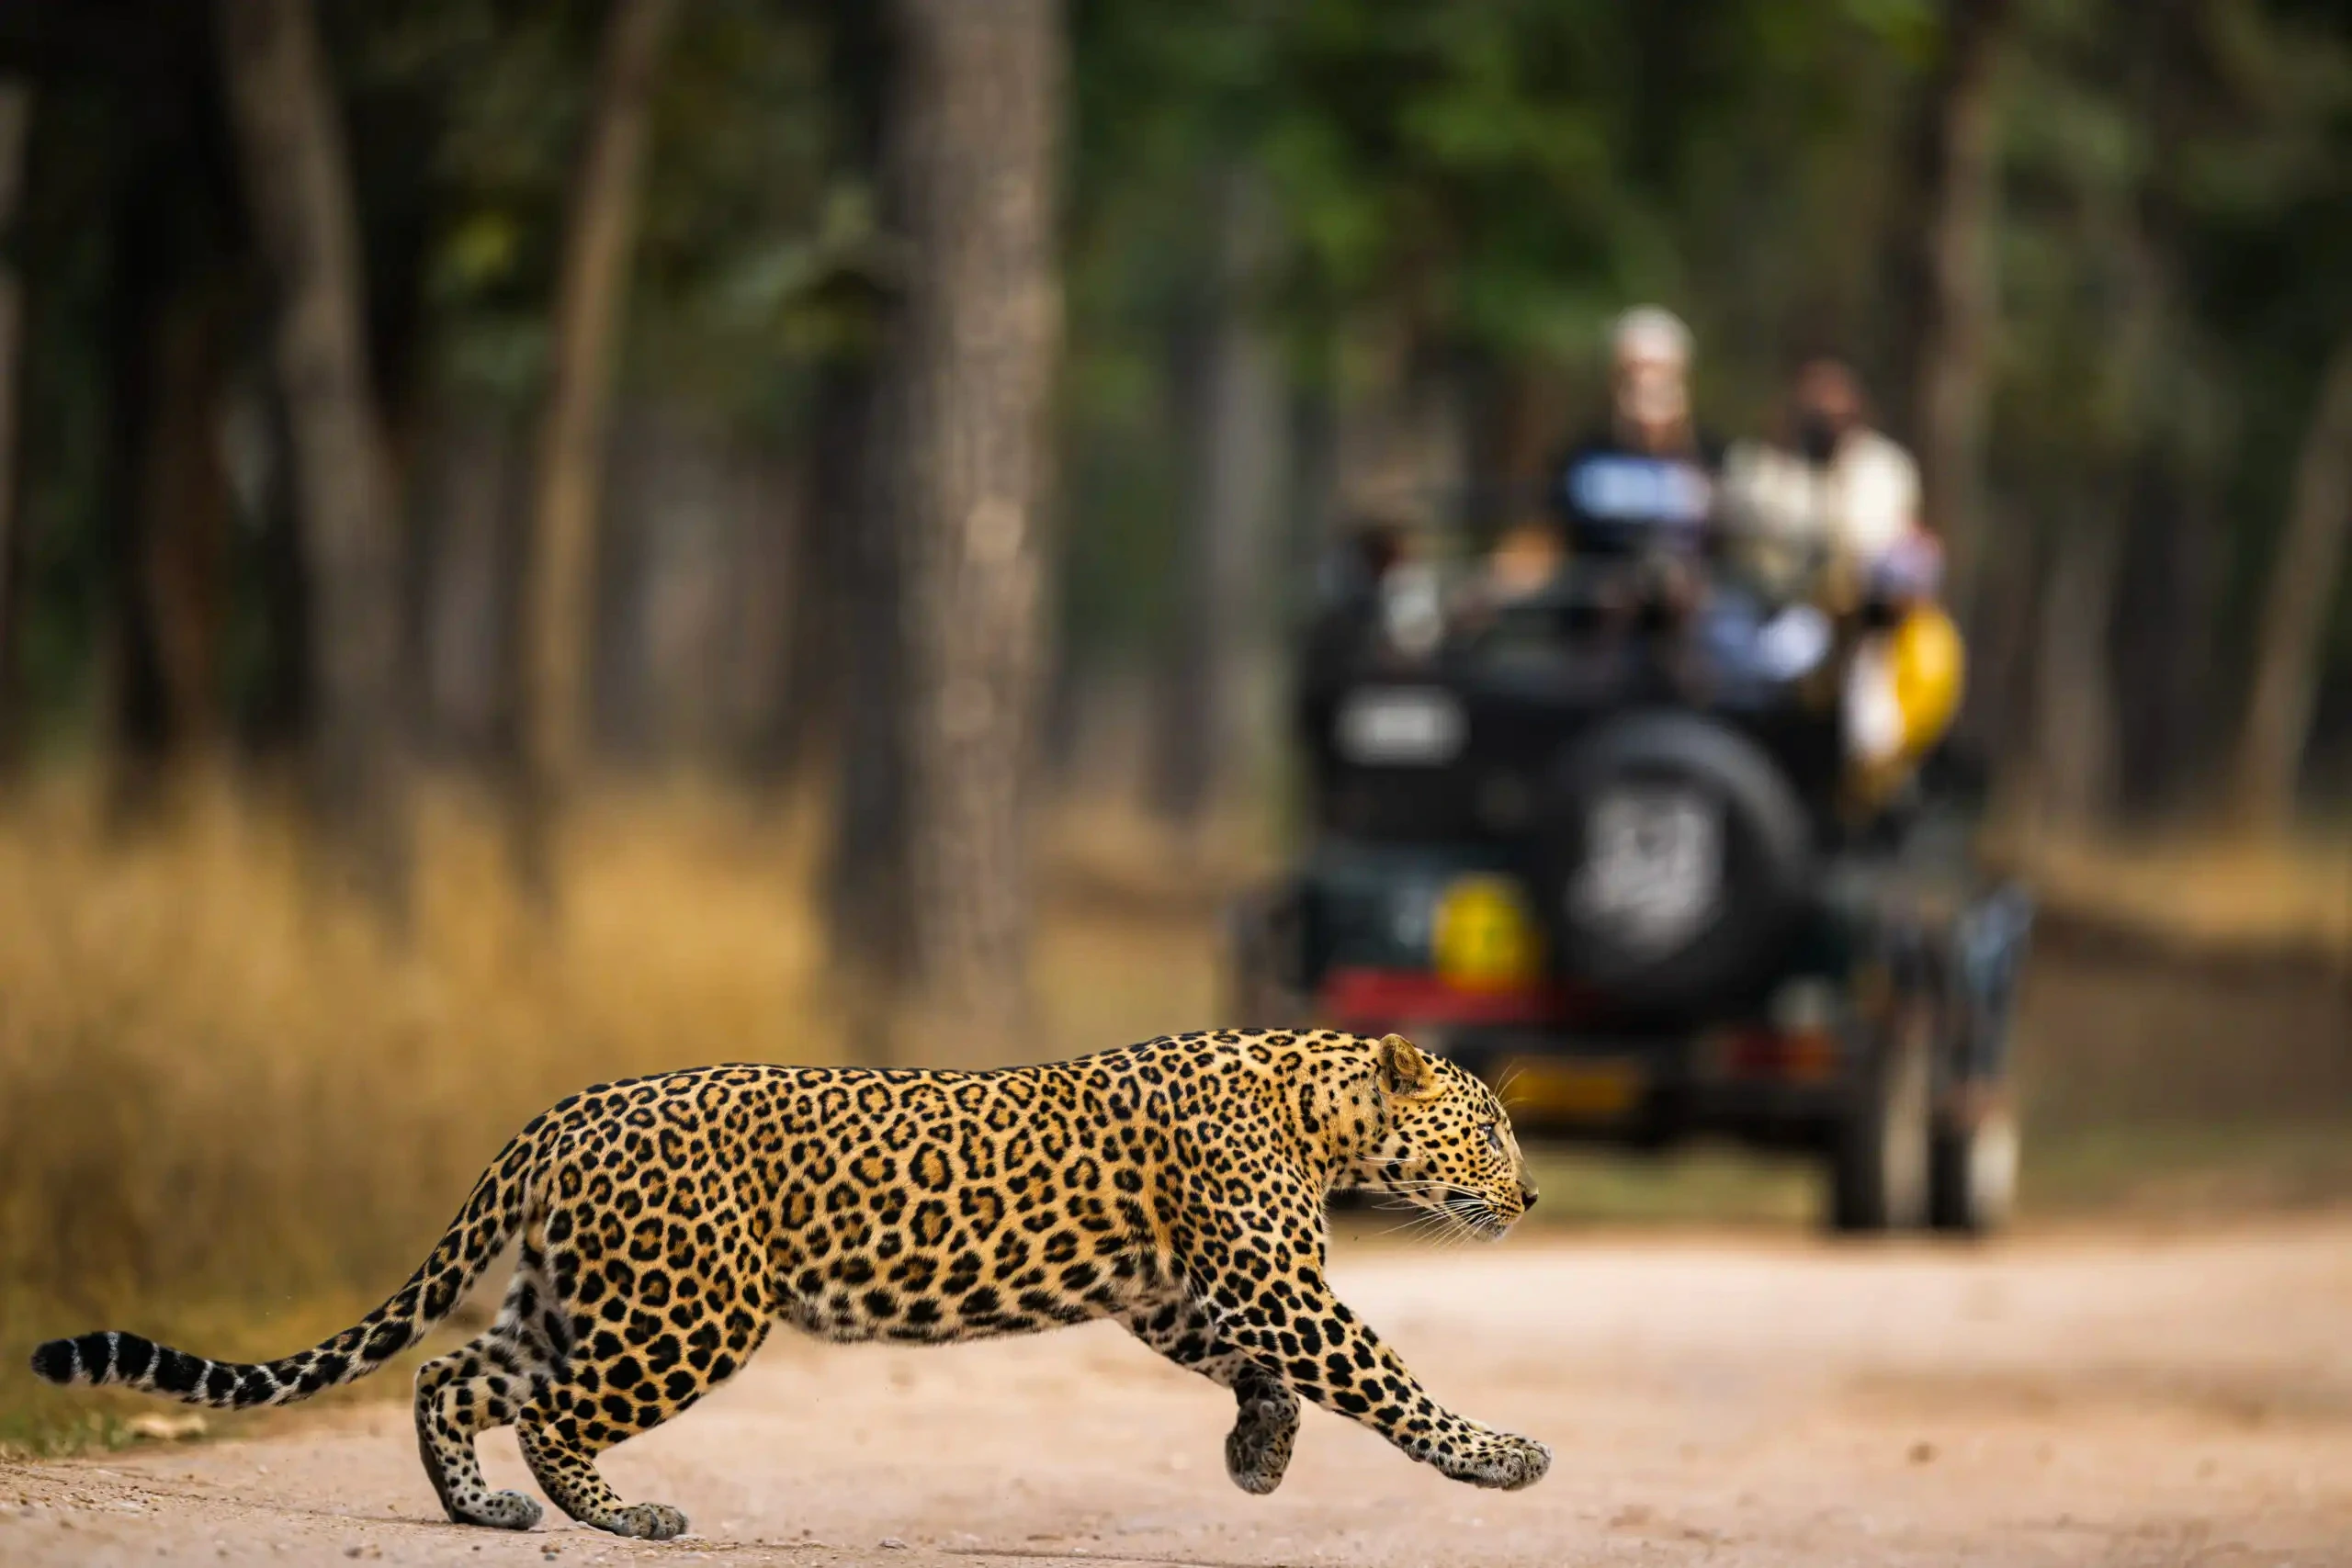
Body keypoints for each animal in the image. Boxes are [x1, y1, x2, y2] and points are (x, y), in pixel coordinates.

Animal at [31, 1029, 1548, 1539]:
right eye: (1492, 1130)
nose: (1536, 1194)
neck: (1321, 1103)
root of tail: (565, 1109)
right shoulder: (1277, 1282)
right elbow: (1383, 1376)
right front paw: (1502, 1454)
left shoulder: (1182, 1287)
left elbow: (1261, 1368)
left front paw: (1256, 1453)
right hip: (689, 1309)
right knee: (548, 1409)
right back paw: (625, 1514)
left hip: (582, 1293)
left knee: (452, 1372)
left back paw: (481, 1510)